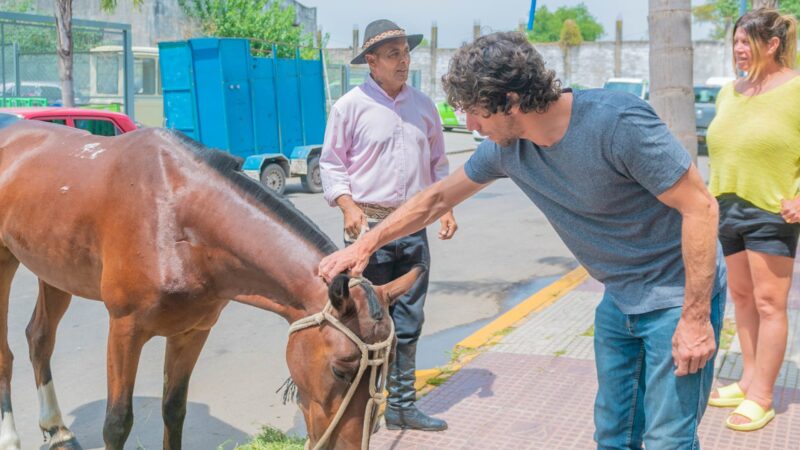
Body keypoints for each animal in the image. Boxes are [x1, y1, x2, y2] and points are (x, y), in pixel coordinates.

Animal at [0, 120, 422, 450]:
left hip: (54, 269)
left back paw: (57, 430)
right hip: (6, 264)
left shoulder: (193, 330)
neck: (177, 214)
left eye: (385, 369)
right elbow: (117, 423)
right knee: (7, 355)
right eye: (340, 371)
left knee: (39, 338)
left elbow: (174, 410)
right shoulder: (124, 328)